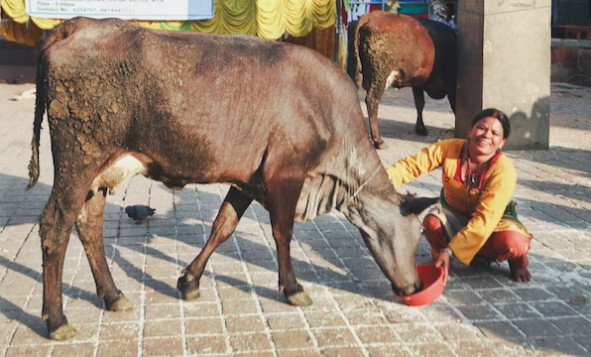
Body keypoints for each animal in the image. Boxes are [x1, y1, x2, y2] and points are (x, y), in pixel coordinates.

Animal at [27, 16, 434, 340]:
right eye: (417, 234)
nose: (414, 285)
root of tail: (74, 25)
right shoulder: (285, 172)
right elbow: (282, 232)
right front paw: (292, 287)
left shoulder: (250, 179)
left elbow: (223, 226)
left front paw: (189, 281)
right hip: (78, 156)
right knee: (55, 225)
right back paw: (57, 319)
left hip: (98, 170)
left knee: (87, 223)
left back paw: (113, 295)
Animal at [346, 10, 458, 147]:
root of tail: (368, 17)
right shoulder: (451, 86)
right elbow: (454, 106)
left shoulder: (417, 82)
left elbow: (419, 103)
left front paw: (420, 128)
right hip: (380, 75)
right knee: (372, 101)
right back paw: (378, 140)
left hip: (354, 70)